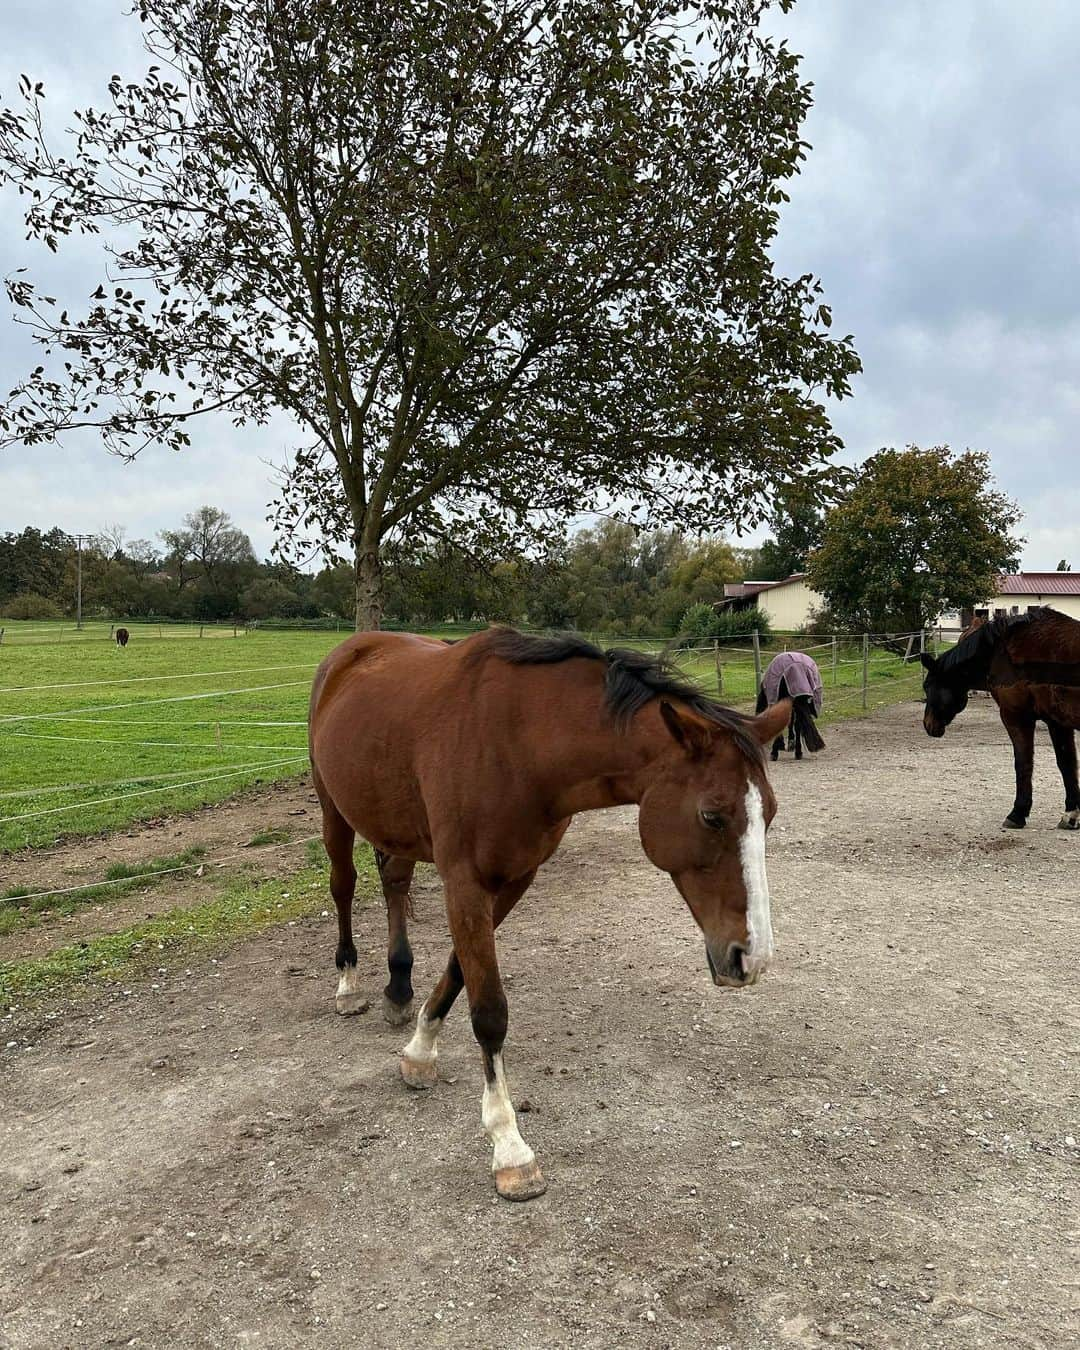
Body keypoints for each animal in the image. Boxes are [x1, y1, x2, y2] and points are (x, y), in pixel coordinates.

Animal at [307, 626, 788, 1198]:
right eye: (712, 816)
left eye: (769, 815)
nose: (752, 958)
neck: (518, 742)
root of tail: (350, 650)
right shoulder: (465, 882)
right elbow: (489, 1009)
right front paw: (509, 1146)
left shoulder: (515, 878)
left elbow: (458, 971)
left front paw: (420, 1049)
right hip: (333, 810)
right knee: (343, 886)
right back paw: (348, 984)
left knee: (395, 882)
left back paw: (398, 986)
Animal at [918, 607, 1080, 826]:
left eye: (928, 686)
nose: (928, 724)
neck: (1004, 652)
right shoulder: (1057, 722)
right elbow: (1067, 763)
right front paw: (1071, 813)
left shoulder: (1016, 717)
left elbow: (1023, 763)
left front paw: (1018, 813)